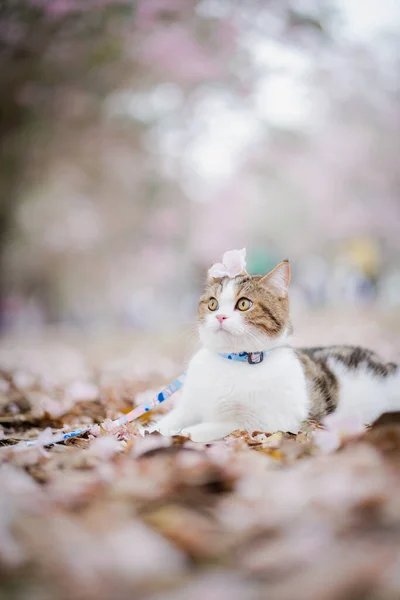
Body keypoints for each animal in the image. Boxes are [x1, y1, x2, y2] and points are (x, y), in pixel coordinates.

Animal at [155, 251, 396, 442]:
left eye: (244, 304)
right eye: (212, 303)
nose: (220, 316)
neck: (234, 360)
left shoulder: (269, 421)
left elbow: (215, 426)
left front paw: (182, 434)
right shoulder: (188, 407)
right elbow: (163, 424)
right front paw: (153, 433)